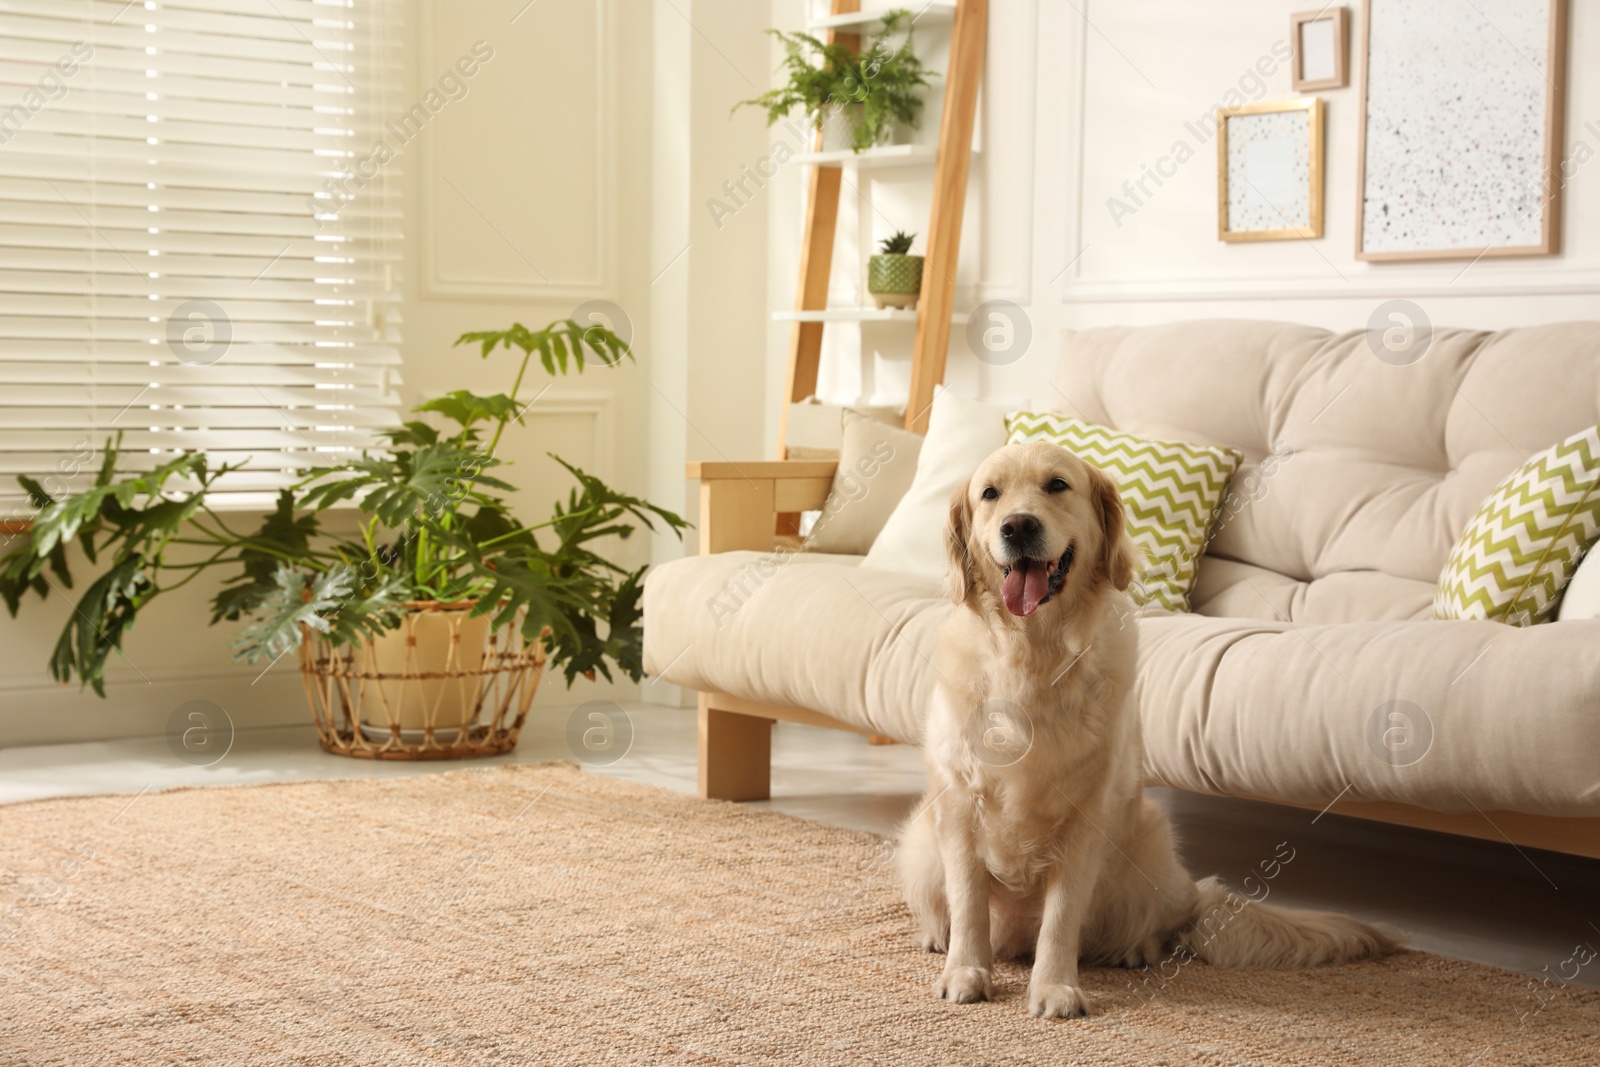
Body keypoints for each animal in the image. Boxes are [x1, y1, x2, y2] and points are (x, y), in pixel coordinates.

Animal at [902, 441, 1401, 1017]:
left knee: (1156, 927)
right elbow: (969, 904)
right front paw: (965, 971)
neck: (1032, 653)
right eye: (990, 493)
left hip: (1152, 840)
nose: (1018, 526)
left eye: (1057, 485)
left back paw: (1134, 949)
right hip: (919, 842)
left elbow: (1061, 917)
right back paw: (936, 936)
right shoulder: (958, 807)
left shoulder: (1086, 815)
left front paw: (1055, 987)